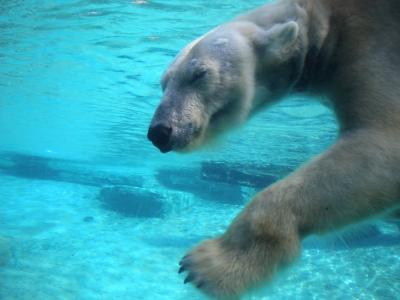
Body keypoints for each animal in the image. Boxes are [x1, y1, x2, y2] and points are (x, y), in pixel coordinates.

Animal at [147, 0, 400, 296]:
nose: (160, 131)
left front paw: (210, 265)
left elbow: (382, 144)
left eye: (199, 74)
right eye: (164, 83)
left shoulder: (374, 45)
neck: (324, 21)